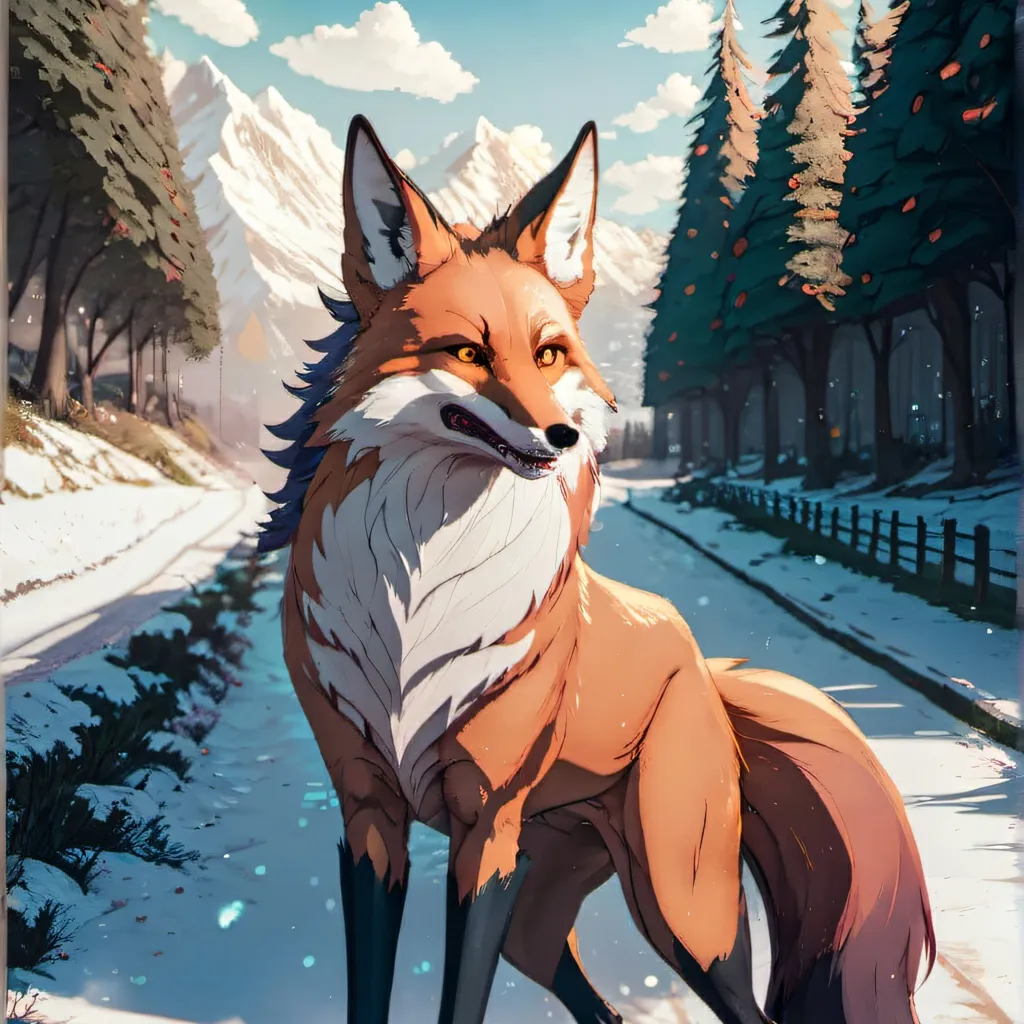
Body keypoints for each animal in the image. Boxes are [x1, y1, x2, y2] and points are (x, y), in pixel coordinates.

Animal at [259, 115, 936, 1024]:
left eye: (549, 355)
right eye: (467, 352)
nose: (563, 436)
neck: (417, 601)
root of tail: (708, 670)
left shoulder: (487, 830)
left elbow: (460, 1003)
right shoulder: (369, 815)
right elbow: (370, 989)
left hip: (681, 910)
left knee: (741, 1005)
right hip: (542, 915)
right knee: (602, 1008)